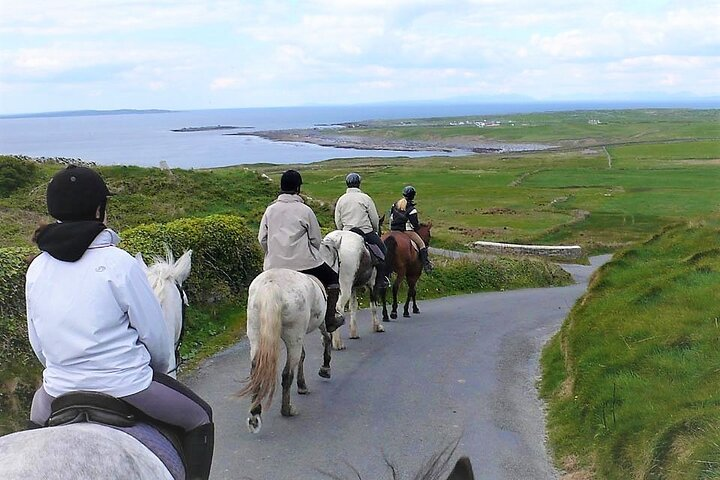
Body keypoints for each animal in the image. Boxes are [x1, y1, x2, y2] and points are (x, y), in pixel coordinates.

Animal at [237, 268, 333, 434]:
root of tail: (271, 285)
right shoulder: (320, 324)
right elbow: (326, 339)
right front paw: (325, 368)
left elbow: (303, 355)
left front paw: (302, 385)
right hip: (294, 336)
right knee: (287, 373)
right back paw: (287, 410)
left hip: (256, 335)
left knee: (256, 371)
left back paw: (255, 415)